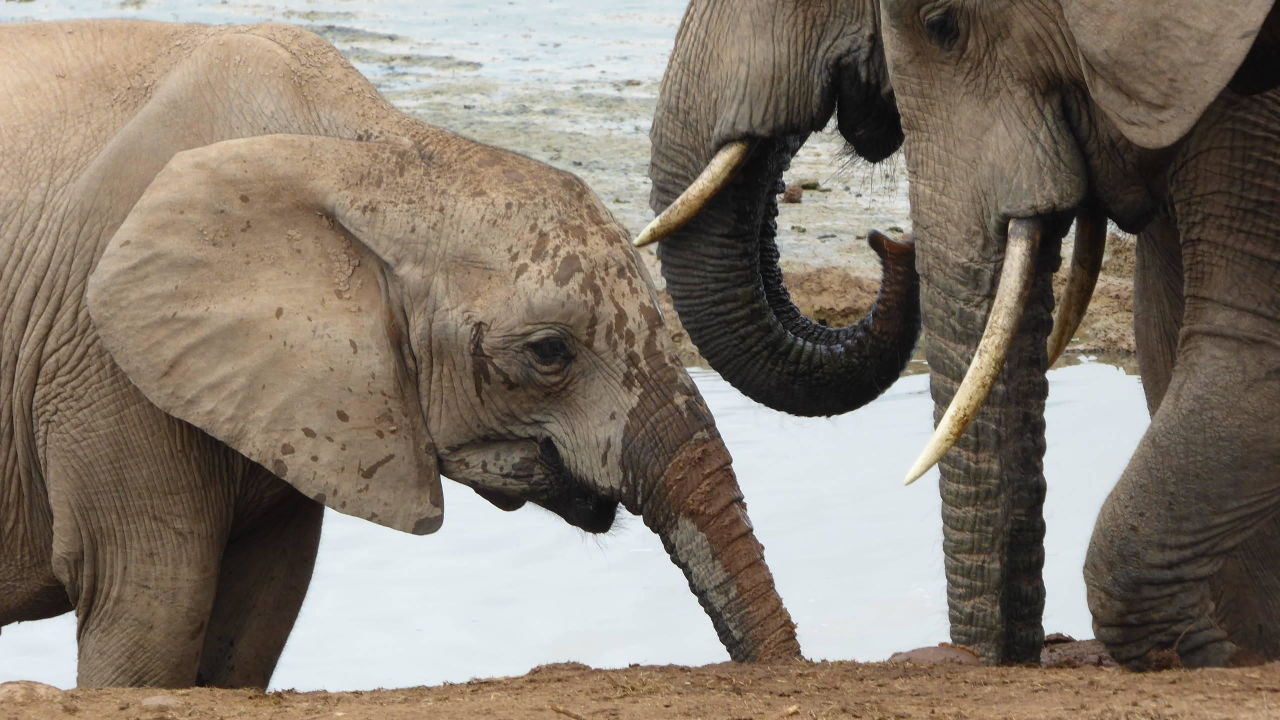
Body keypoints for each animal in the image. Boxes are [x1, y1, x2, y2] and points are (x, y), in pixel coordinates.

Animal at [645, 0, 1280, 666]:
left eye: (941, 24)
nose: (891, 242)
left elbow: (1246, 354)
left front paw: (1220, 658)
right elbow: (1165, 332)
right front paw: (1239, 653)